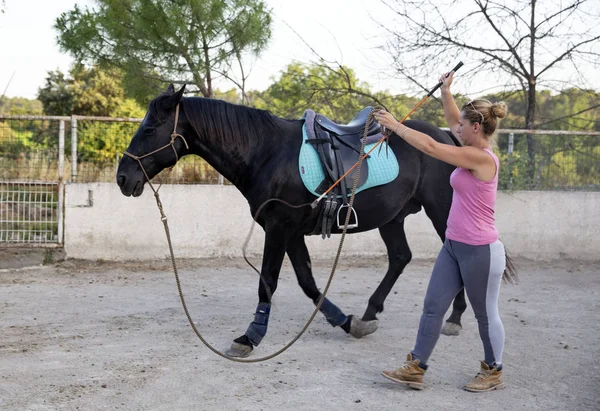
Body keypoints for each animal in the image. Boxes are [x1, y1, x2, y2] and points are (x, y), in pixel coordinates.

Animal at [115, 86, 466, 358]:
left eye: (150, 129)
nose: (122, 178)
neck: (266, 153)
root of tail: (446, 136)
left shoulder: (278, 228)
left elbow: (268, 281)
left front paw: (251, 335)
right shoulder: (293, 232)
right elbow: (307, 282)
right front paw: (346, 321)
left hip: (442, 210)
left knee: (457, 255)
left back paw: (455, 317)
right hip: (391, 217)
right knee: (400, 257)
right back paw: (369, 313)